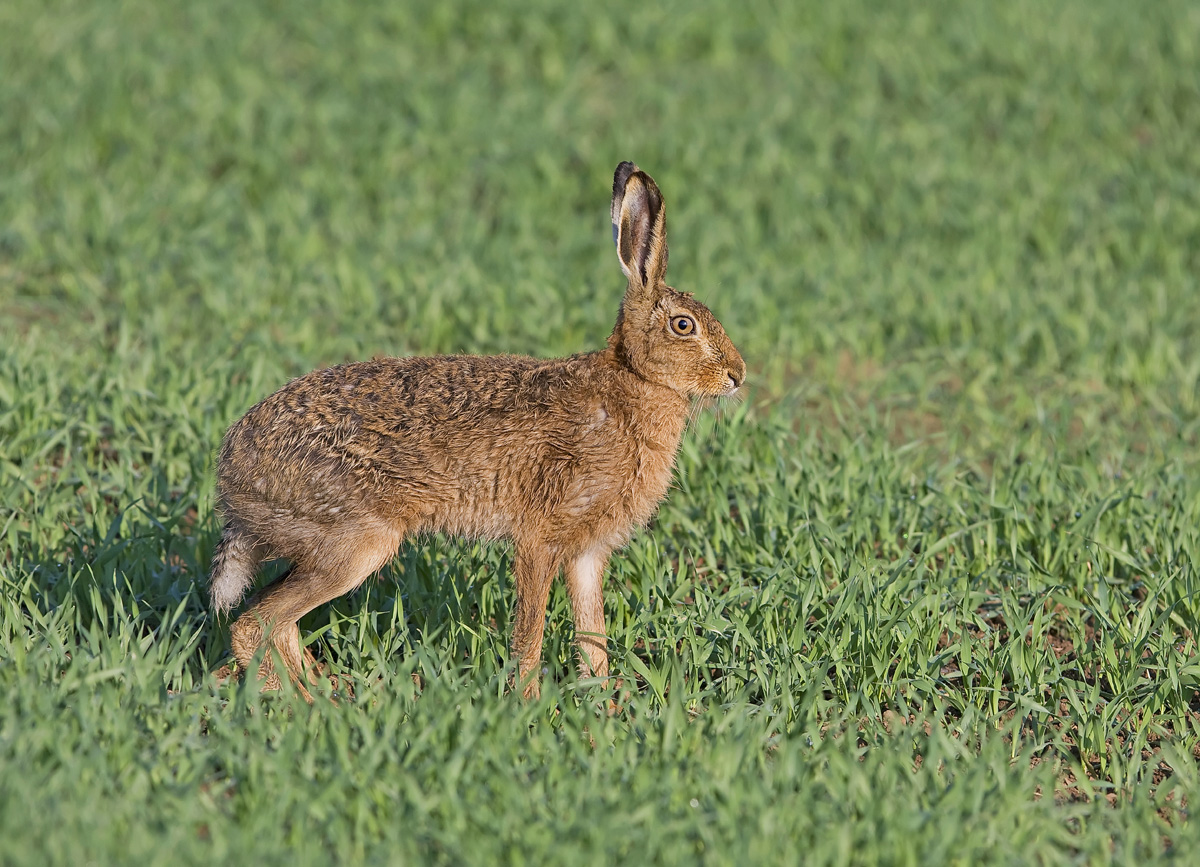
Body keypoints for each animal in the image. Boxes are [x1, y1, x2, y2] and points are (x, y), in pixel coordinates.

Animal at [209, 161, 746, 701]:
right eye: (684, 326)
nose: (737, 375)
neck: (633, 381)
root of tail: (231, 474)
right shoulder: (539, 538)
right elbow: (530, 633)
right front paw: (530, 704)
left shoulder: (587, 553)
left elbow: (592, 636)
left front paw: (603, 703)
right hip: (355, 543)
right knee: (255, 623)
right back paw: (300, 703)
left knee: (277, 622)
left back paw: (324, 691)